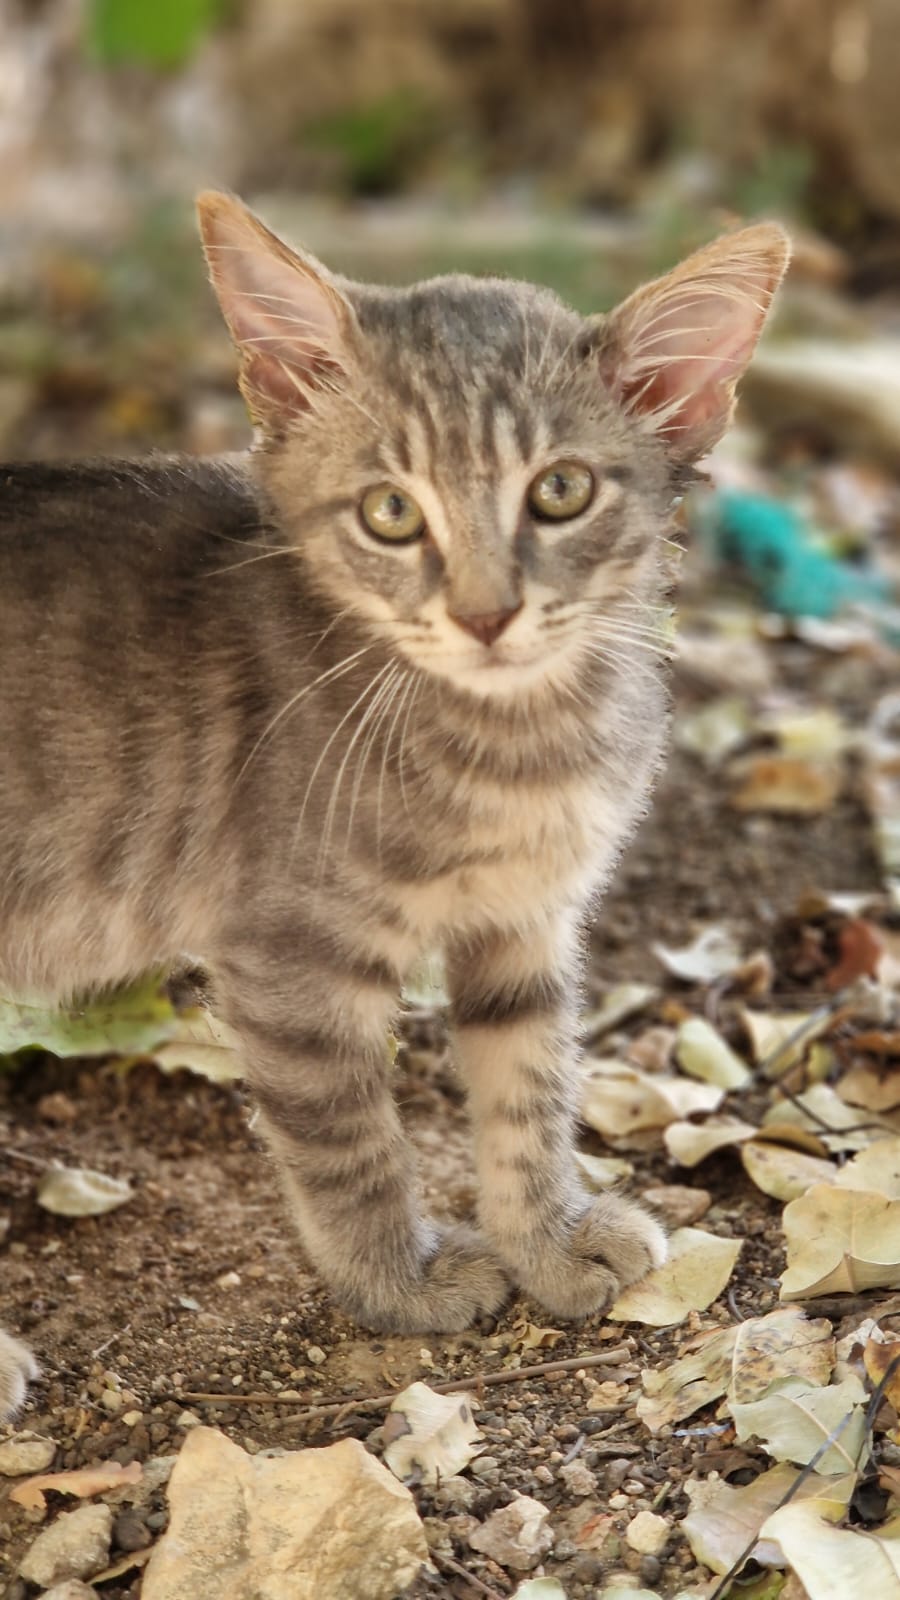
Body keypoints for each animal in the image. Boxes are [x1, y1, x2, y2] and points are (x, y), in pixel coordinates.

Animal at [0, 190, 784, 1414]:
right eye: (388, 513)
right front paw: (399, 1281)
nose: (484, 615)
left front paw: (548, 1235)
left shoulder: (528, 920)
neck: (513, 742)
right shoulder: (287, 957)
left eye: (560, 491)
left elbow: (530, 1087)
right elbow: (349, 1141)